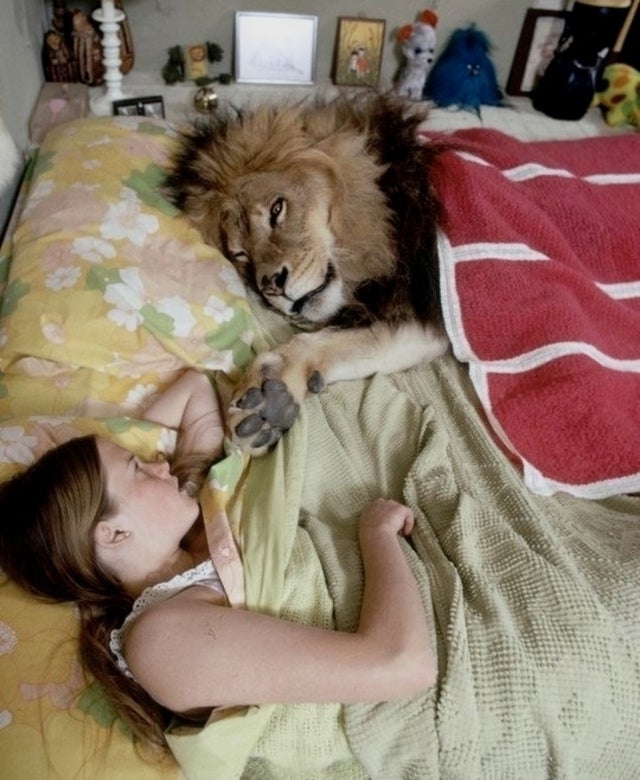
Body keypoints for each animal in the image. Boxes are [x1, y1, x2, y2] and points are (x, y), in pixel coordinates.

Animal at [170, 92, 450, 458]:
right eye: (241, 254)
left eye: (276, 210)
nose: (271, 286)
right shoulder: (426, 316)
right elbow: (336, 343)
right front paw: (269, 400)